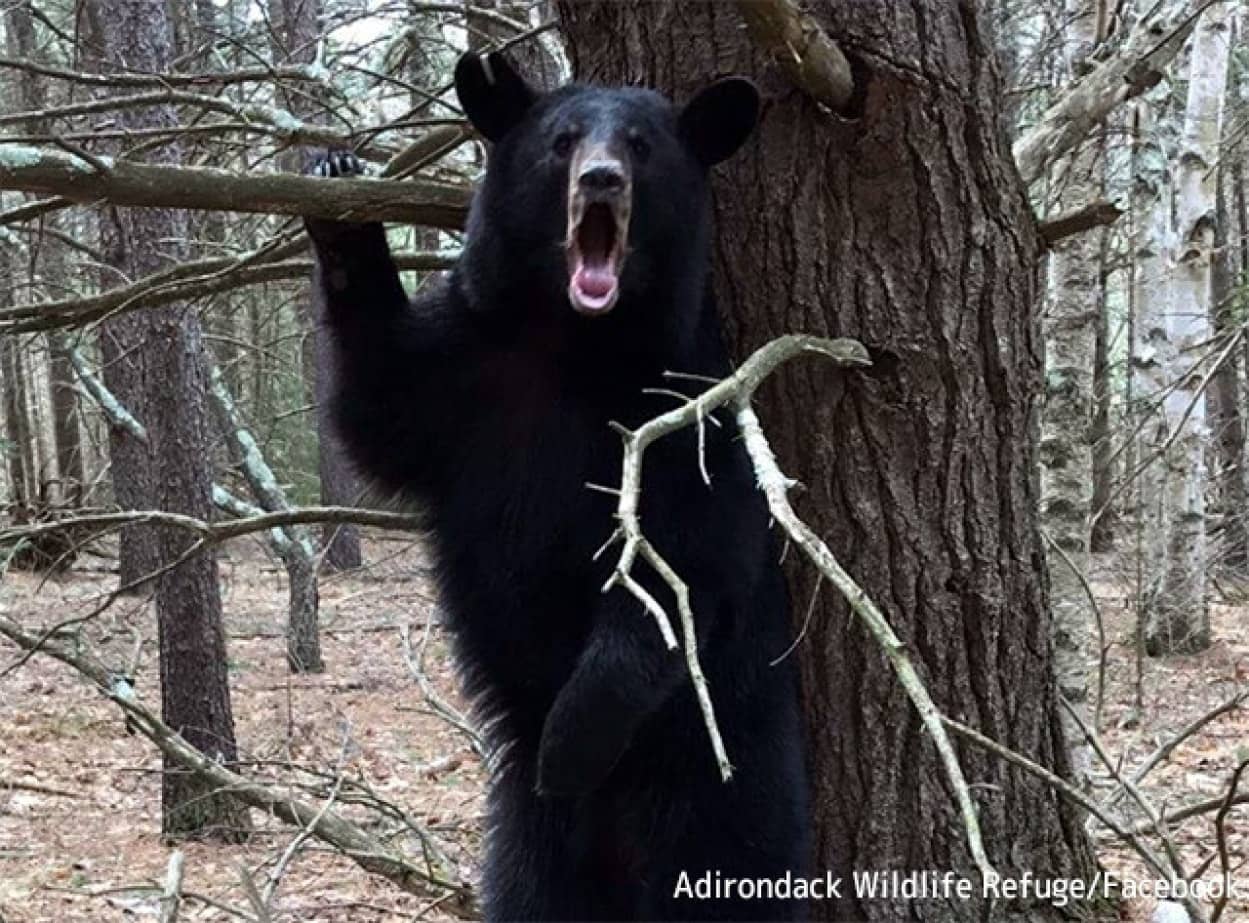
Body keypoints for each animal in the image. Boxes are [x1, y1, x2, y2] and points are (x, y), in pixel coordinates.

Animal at [303, 54, 809, 919]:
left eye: (640, 144)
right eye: (561, 140)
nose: (601, 179)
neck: (573, 339)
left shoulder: (686, 411)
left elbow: (685, 568)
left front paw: (571, 739)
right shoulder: (466, 373)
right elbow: (377, 412)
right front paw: (339, 203)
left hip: (730, 793)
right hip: (525, 843)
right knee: (525, 890)